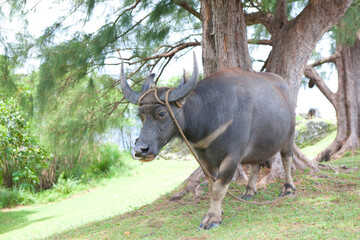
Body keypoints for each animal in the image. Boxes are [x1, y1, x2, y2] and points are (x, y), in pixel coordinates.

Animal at [119, 53, 294, 230]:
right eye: (140, 115)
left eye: (162, 113)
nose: (141, 149)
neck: (209, 116)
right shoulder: (204, 159)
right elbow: (211, 186)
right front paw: (219, 211)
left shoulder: (232, 157)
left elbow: (218, 188)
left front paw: (212, 219)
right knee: (255, 164)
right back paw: (249, 191)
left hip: (289, 136)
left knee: (286, 159)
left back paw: (288, 189)